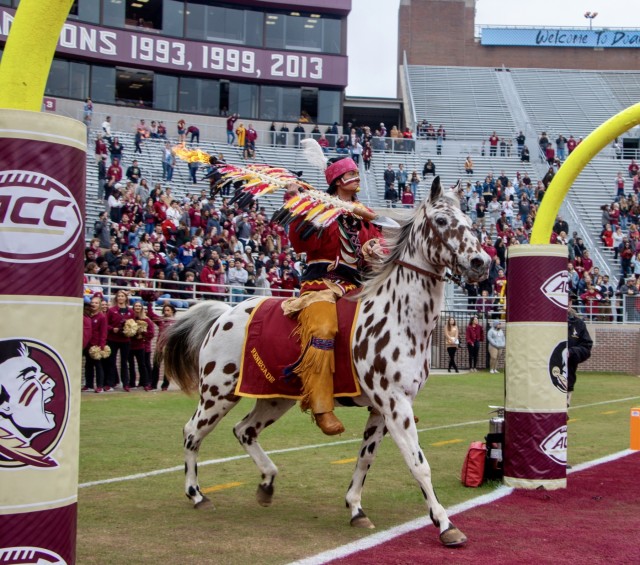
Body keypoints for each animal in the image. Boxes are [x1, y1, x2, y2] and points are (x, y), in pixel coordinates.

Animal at [164, 177, 490, 548]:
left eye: (468, 221)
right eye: (441, 221)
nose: (481, 263)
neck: (399, 316)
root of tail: (223, 314)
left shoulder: (381, 409)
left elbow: (366, 458)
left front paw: (356, 508)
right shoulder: (395, 404)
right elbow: (418, 463)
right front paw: (445, 524)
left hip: (274, 397)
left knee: (244, 430)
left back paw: (267, 483)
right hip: (218, 393)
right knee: (192, 432)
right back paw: (197, 494)